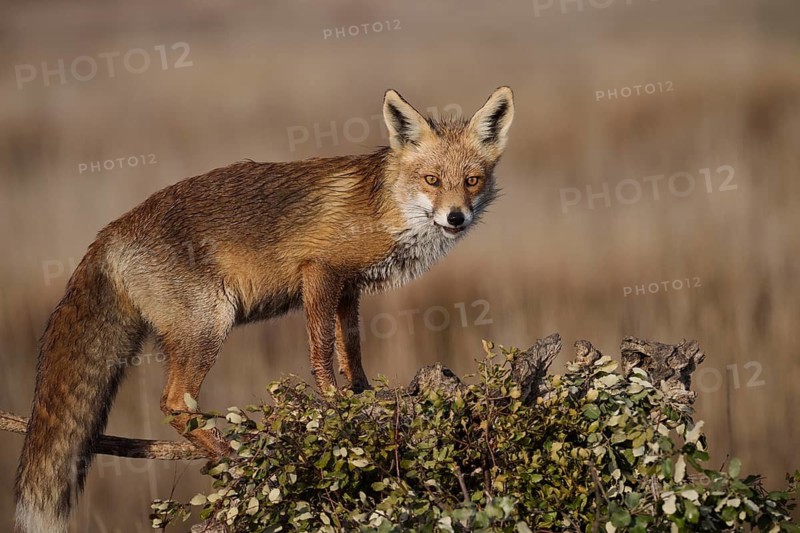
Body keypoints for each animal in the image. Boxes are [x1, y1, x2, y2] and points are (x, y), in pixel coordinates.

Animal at [14, 87, 514, 532]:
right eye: (432, 180)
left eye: (471, 181)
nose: (456, 217)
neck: (387, 208)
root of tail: (108, 234)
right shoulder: (319, 270)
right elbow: (322, 352)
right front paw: (332, 405)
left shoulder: (349, 287)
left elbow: (351, 350)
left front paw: (362, 396)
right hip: (210, 324)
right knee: (173, 404)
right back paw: (238, 453)